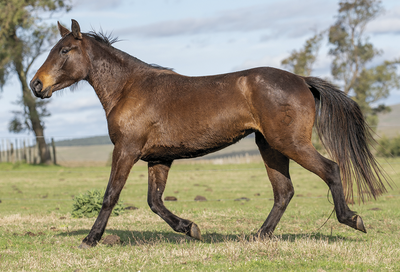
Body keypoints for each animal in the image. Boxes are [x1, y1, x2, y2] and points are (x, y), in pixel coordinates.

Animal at [30, 19, 388, 249]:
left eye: (64, 50)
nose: (36, 84)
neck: (129, 88)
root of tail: (301, 80)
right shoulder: (159, 158)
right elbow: (155, 202)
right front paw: (191, 229)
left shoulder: (127, 150)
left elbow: (111, 196)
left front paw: (90, 240)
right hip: (270, 147)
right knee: (284, 191)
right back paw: (259, 236)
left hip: (290, 143)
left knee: (330, 169)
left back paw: (352, 219)